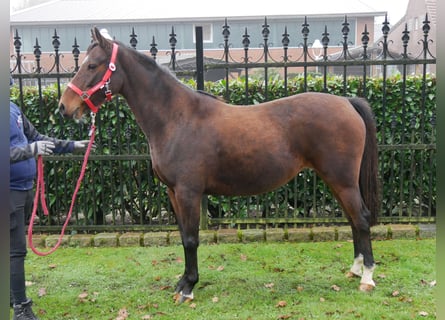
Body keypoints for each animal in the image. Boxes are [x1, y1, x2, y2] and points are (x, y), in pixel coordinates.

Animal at [58, 26, 378, 302]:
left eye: (92, 65)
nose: (64, 107)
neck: (177, 118)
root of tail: (346, 102)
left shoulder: (188, 192)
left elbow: (191, 239)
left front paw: (188, 288)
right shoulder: (173, 193)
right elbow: (183, 236)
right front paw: (182, 282)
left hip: (342, 181)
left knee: (361, 218)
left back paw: (367, 278)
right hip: (336, 180)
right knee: (353, 220)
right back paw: (354, 269)